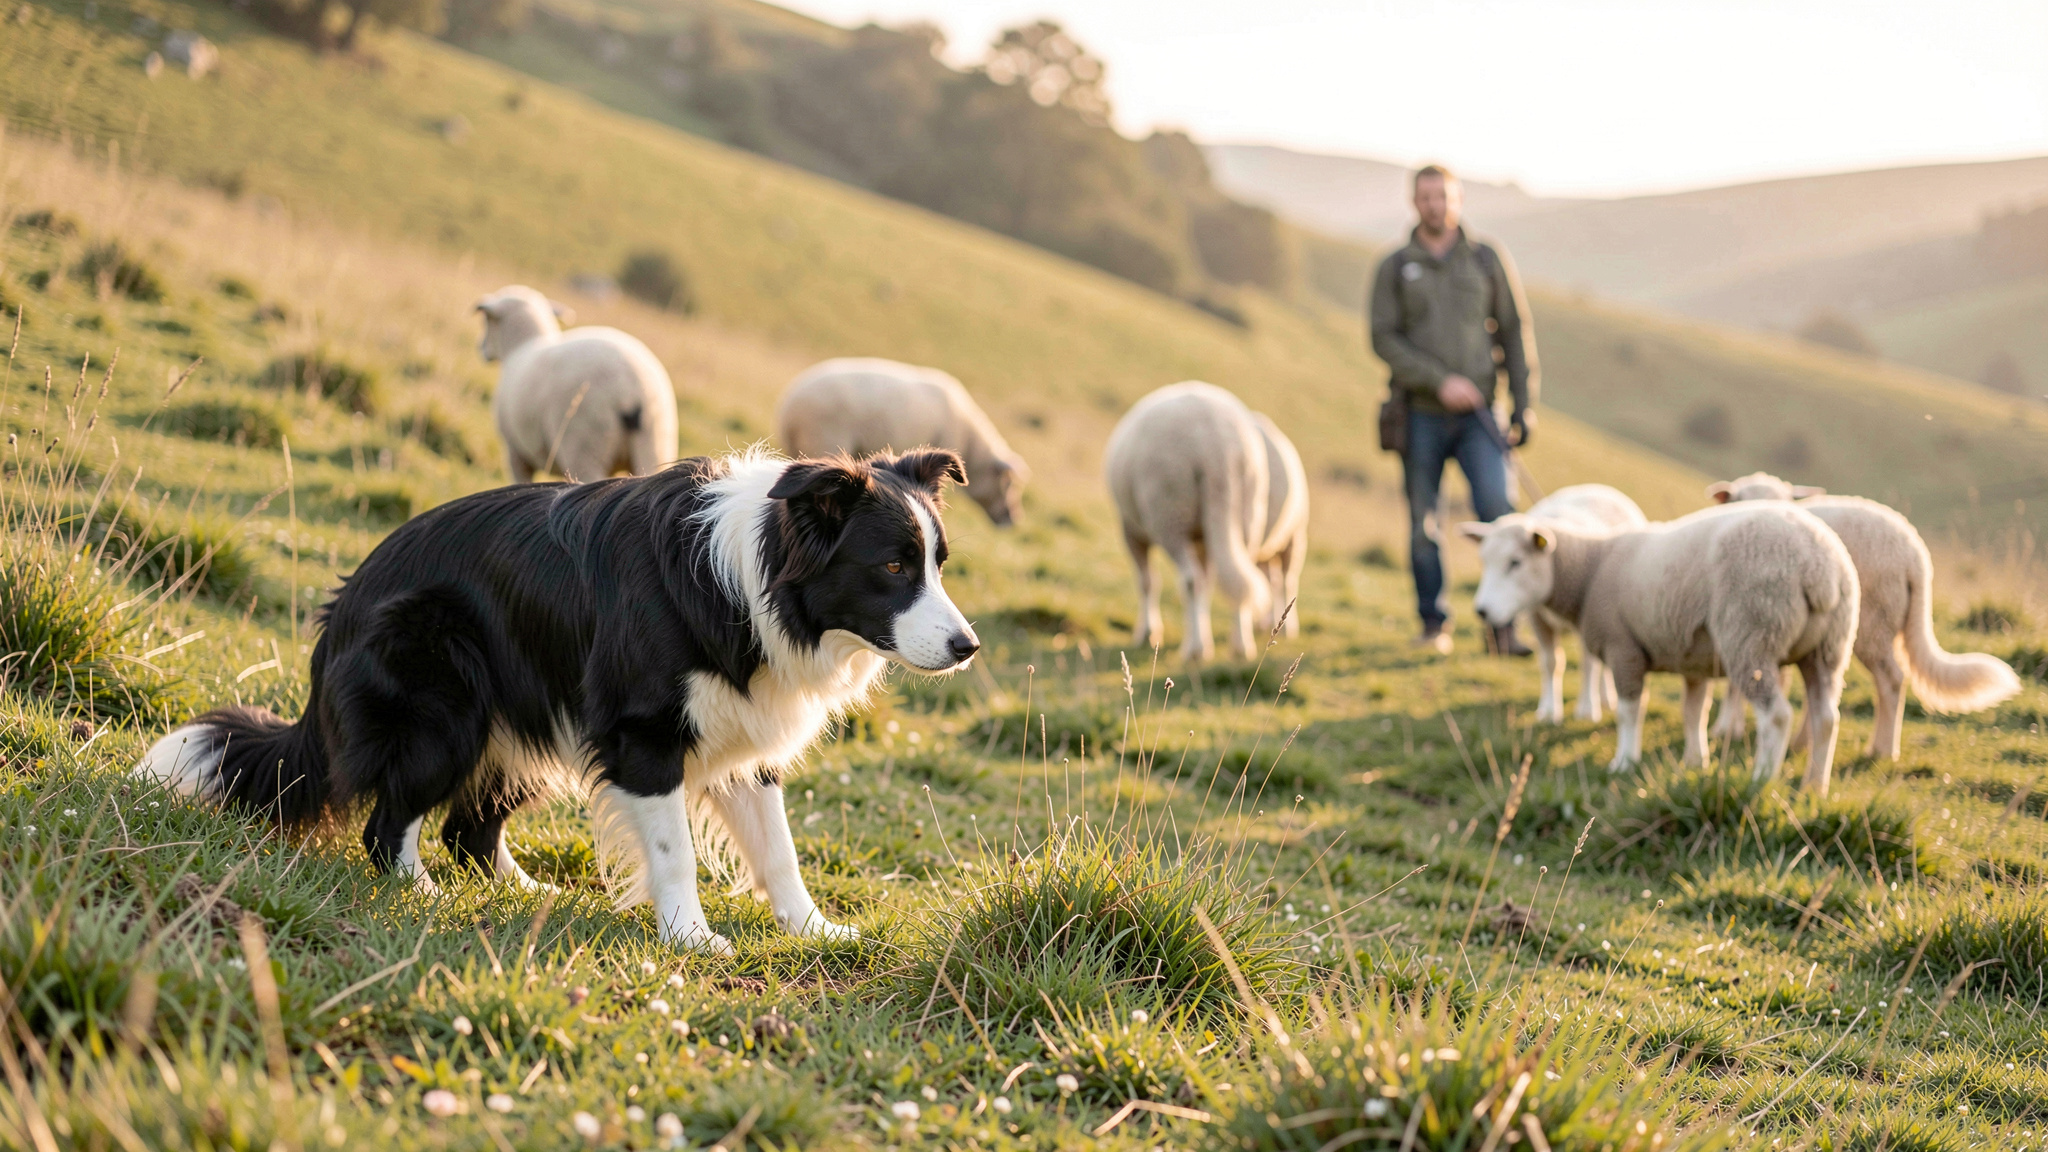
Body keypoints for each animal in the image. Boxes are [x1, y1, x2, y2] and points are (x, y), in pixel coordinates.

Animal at [474, 285, 679, 483]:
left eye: (487, 320)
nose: (480, 348)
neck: (521, 346)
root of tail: (630, 387)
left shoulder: (516, 452)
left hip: (584, 443)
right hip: (654, 442)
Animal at [1106, 381, 1275, 662]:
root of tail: (1217, 448)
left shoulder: (1131, 529)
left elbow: (1147, 582)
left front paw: (1148, 632)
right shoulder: (1203, 538)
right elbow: (1207, 584)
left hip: (1170, 511)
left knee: (1191, 580)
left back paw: (1194, 650)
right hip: (1244, 512)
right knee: (1238, 580)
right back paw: (1241, 645)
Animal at [1251, 412, 1309, 637]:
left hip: (1293, 537)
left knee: (1286, 580)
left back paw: (1287, 629)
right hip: (1267, 545)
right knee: (1270, 579)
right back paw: (1268, 622)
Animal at [1502, 484, 1648, 723]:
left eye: (1515, 562)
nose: (1482, 610)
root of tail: (1600, 487)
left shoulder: (1591, 622)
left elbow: (1588, 665)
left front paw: (1587, 710)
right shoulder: (1538, 617)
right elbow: (1550, 662)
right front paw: (1548, 711)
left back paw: (1605, 698)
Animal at [1705, 472, 2022, 758]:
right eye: (1738, 500)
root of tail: (1916, 558)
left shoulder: (1745, 619)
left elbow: (1737, 683)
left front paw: (1726, 729)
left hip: (1873, 623)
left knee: (1891, 679)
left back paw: (1882, 750)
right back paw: (1807, 742)